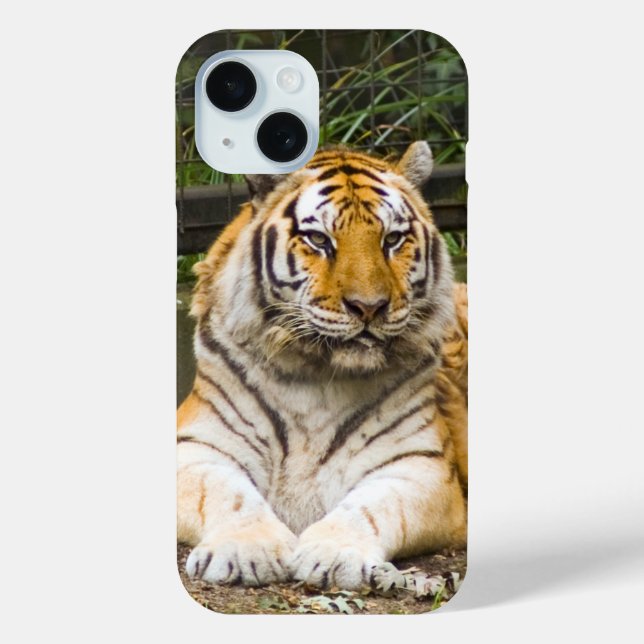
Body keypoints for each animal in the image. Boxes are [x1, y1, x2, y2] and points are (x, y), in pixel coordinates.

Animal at [177, 141, 468, 591]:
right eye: (318, 239)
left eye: (392, 239)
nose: (369, 307)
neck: (316, 377)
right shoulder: (197, 446)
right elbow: (228, 494)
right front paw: (245, 551)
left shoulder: (422, 464)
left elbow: (373, 507)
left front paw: (335, 555)